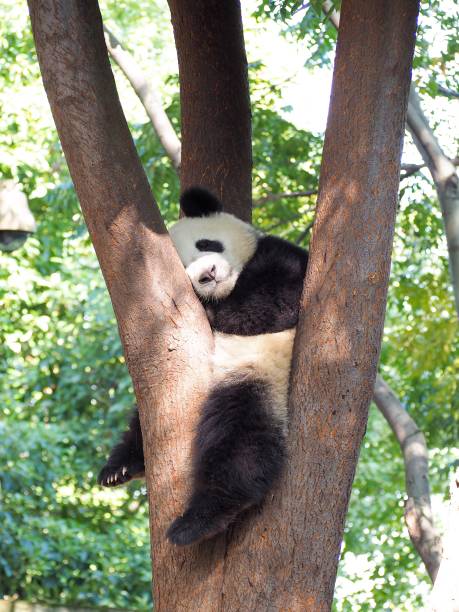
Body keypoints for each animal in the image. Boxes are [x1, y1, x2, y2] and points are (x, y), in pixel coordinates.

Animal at [97, 186, 310, 544]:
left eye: (206, 244)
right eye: (180, 267)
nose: (207, 275)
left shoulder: (287, 261)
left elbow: (278, 299)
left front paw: (216, 314)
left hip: (260, 374)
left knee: (240, 441)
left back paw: (199, 519)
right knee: (144, 421)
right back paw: (120, 467)